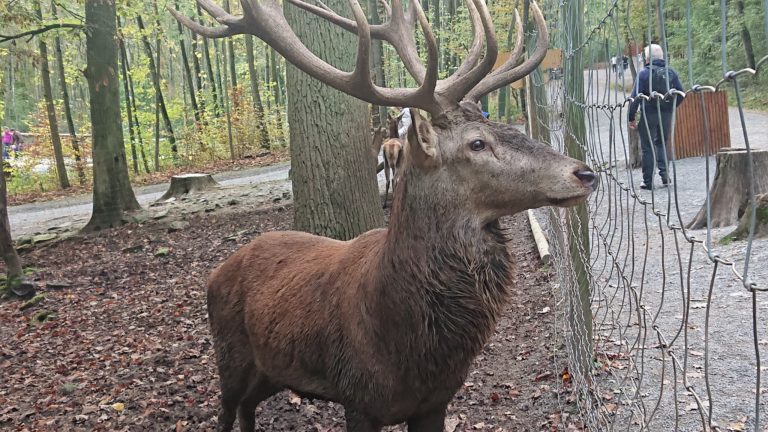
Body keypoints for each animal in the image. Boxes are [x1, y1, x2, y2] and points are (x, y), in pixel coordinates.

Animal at [170, 0, 597, 431]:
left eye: (506, 128)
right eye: (477, 143)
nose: (584, 172)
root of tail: (217, 272)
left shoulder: (436, 401)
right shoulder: (358, 398)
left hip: (271, 370)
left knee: (248, 407)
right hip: (229, 355)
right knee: (227, 410)